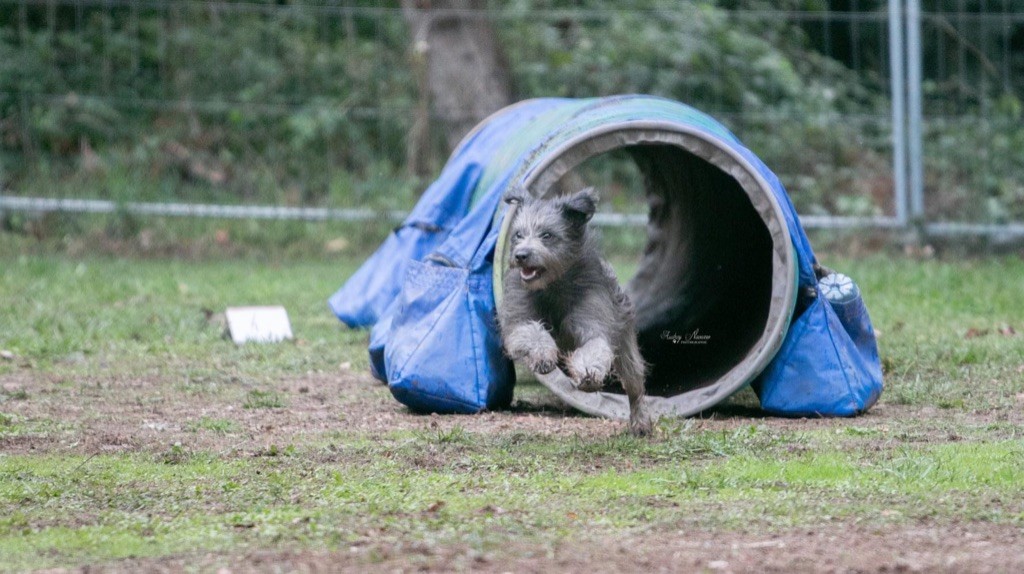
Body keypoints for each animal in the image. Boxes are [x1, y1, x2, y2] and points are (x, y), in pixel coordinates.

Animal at [497, 187, 655, 433]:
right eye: (518, 235)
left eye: (547, 235)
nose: (521, 255)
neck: (552, 286)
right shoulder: (518, 319)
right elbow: (530, 331)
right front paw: (543, 355)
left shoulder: (592, 318)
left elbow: (594, 346)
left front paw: (589, 373)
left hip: (626, 345)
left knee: (634, 383)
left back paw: (640, 422)